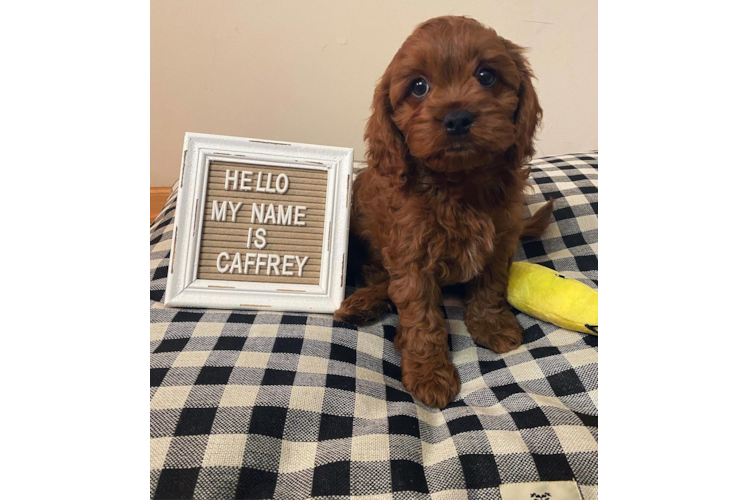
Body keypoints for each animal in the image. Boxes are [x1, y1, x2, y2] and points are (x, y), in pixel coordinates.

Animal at [336, 15, 552, 408]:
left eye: (486, 76)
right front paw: (429, 374)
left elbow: (490, 285)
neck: (458, 184)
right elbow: (421, 316)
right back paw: (362, 303)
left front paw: (491, 325)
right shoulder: (411, 256)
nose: (457, 118)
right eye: (418, 86)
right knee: (382, 280)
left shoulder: (500, 240)